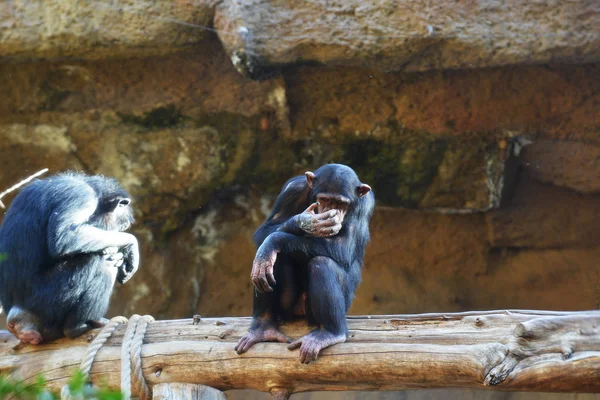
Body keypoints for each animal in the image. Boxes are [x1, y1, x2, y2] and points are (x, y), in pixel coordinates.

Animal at [0, 172, 139, 344]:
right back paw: (83, 324)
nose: (117, 231)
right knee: (102, 261)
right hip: (47, 302)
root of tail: (19, 321)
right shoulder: (81, 195)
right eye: (121, 227)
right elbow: (67, 234)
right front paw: (130, 244)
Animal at [236, 164, 372, 364]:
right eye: (324, 199)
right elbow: (267, 229)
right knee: (268, 262)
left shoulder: (364, 205)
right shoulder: (291, 189)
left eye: (341, 204)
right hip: (287, 308)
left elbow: (342, 247)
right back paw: (262, 328)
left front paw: (277, 239)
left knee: (321, 263)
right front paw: (301, 222)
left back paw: (330, 333)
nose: (329, 209)